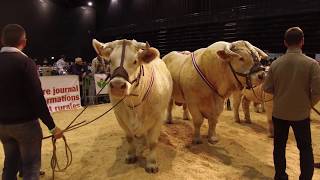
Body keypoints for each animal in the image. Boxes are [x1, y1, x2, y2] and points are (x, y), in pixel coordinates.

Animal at [92, 39, 172, 173]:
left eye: (135, 61)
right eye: (110, 61)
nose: (117, 86)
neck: (134, 102)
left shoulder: (158, 117)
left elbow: (153, 142)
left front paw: (151, 163)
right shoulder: (120, 117)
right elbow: (129, 138)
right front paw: (131, 155)